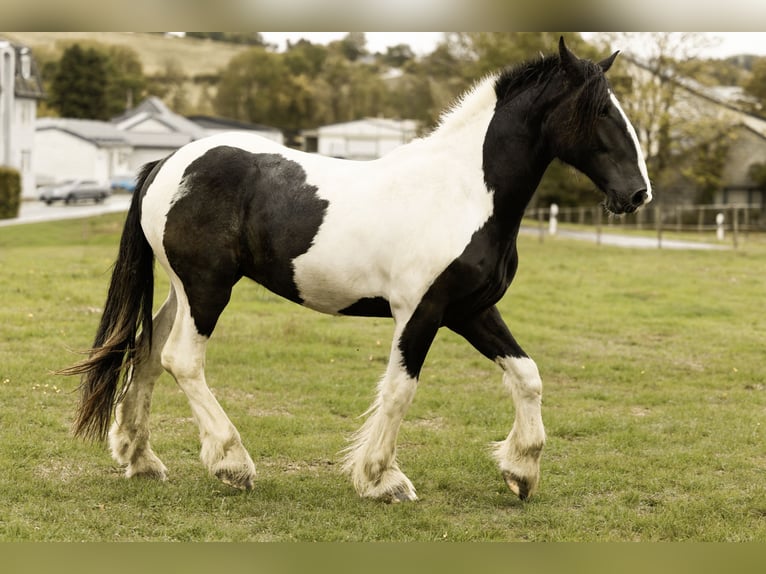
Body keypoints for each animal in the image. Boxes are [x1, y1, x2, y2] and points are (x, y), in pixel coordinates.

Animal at [64, 37, 651, 503]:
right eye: (601, 111)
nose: (637, 194)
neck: (462, 192)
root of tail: (166, 164)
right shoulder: (421, 311)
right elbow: (399, 392)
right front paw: (381, 480)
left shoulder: (472, 310)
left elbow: (527, 375)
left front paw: (521, 472)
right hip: (207, 289)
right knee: (181, 360)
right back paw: (232, 464)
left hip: (182, 291)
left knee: (146, 352)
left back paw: (141, 460)